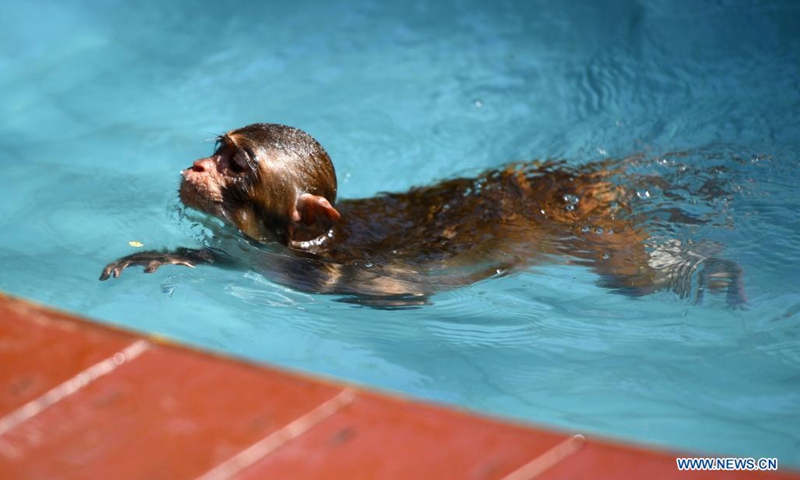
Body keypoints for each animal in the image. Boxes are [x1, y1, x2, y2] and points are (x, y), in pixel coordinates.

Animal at [100, 123, 746, 308]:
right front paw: (170, 255)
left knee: (633, 278)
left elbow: (401, 290)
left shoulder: (336, 269)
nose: (197, 165)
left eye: (235, 165)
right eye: (216, 151)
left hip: (586, 222)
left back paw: (707, 268)